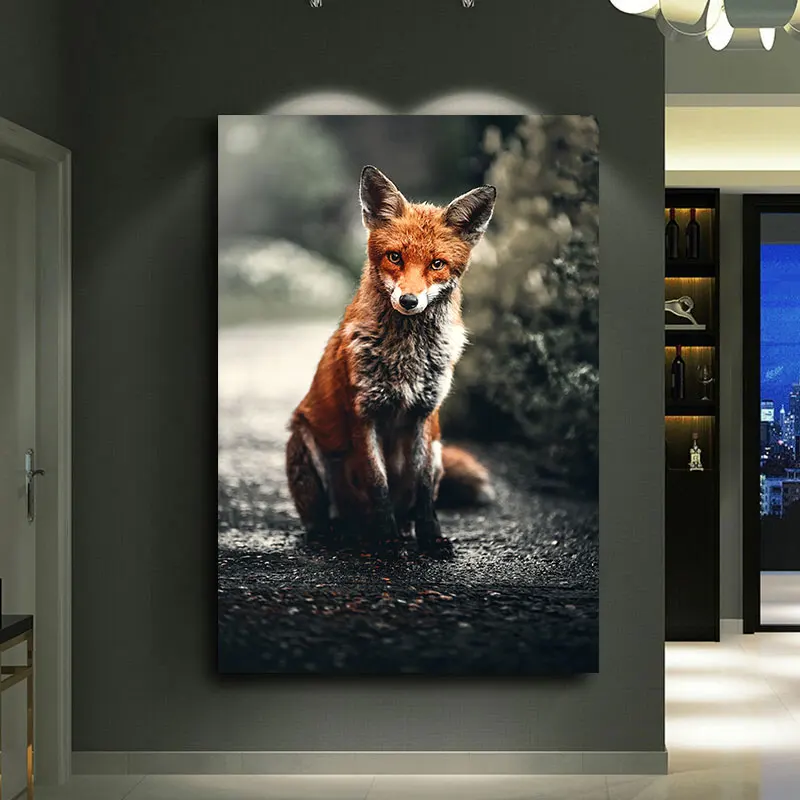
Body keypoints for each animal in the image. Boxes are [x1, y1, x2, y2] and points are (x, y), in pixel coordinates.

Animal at [285, 165, 496, 558]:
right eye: (395, 257)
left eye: (437, 264)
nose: (409, 301)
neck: (406, 356)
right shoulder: (363, 414)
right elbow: (377, 483)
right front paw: (387, 542)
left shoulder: (425, 416)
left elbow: (425, 490)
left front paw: (430, 538)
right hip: (304, 442)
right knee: (323, 518)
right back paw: (336, 533)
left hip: (440, 449)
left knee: (411, 503)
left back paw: (402, 528)